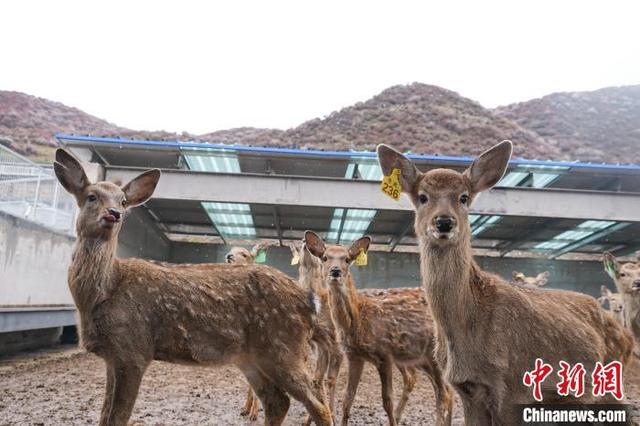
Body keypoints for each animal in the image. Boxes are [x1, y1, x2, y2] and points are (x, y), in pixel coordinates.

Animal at [54, 149, 332, 426]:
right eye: (91, 196)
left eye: (123, 201)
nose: (113, 213)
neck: (102, 292)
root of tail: (309, 300)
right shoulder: (113, 356)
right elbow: (104, 416)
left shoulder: (133, 348)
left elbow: (117, 417)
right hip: (251, 356)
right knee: (277, 400)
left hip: (282, 345)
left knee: (316, 403)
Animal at [302, 233, 452, 426]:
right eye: (325, 257)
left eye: (347, 259)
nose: (335, 271)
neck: (358, 319)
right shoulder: (354, 356)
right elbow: (347, 398)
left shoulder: (384, 354)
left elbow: (387, 401)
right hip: (422, 358)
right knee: (442, 389)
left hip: (433, 354)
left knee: (444, 393)